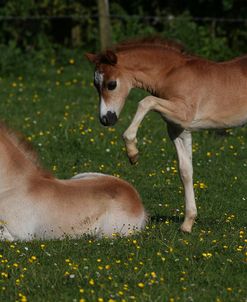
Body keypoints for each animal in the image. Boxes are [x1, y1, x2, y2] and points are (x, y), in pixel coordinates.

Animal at [86, 36, 247, 232]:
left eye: (111, 84)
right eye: (95, 85)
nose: (105, 119)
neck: (170, 74)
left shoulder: (183, 114)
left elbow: (146, 102)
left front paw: (132, 152)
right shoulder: (178, 129)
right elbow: (185, 171)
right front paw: (187, 224)